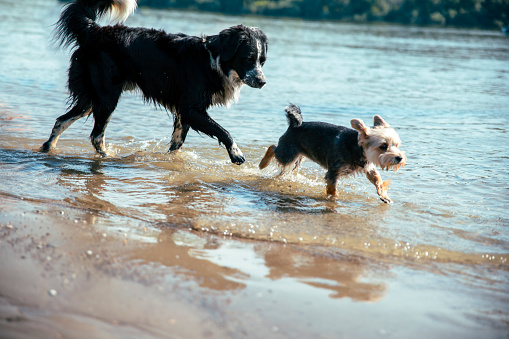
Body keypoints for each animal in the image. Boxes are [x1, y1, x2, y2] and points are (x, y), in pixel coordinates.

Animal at [41, 0, 268, 165]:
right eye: (248, 58)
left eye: (262, 61)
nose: (262, 81)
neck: (212, 60)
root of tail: (94, 30)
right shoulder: (191, 108)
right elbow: (224, 131)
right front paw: (236, 154)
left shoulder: (183, 112)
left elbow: (177, 143)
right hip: (107, 96)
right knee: (96, 135)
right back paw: (108, 157)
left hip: (90, 97)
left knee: (62, 120)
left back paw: (47, 148)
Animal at [258, 105, 404, 203]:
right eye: (383, 146)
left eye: (397, 145)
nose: (400, 158)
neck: (357, 148)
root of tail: (295, 124)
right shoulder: (333, 172)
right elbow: (332, 189)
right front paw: (334, 199)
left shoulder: (369, 167)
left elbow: (378, 179)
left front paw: (384, 196)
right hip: (287, 153)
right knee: (272, 148)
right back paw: (262, 164)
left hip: (297, 158)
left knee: (284, 169)